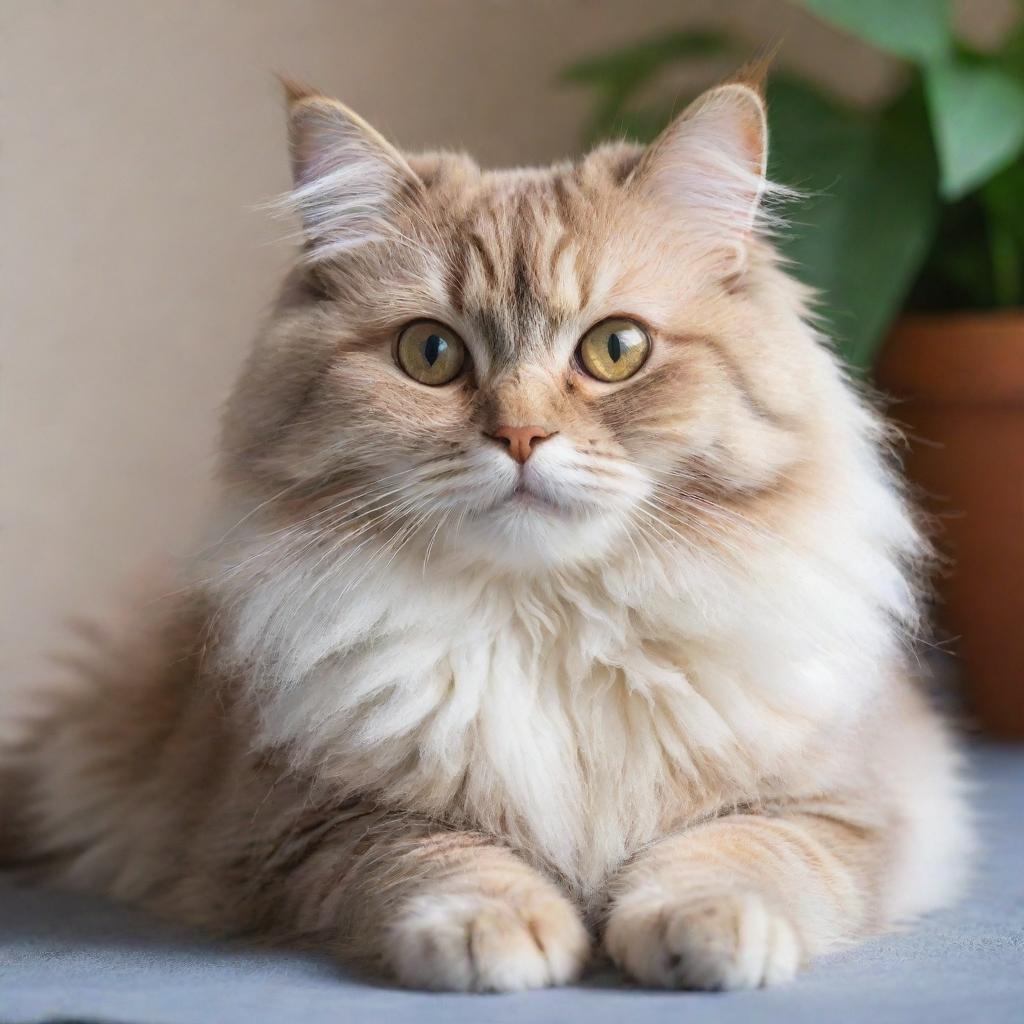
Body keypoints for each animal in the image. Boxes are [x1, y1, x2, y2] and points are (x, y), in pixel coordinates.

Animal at [4, 77, 970, 991]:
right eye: (430, 355)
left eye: (616, 349)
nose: (520, 436)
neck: (551, 623)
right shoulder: (311, 824)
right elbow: (443, 857)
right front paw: (493, 932)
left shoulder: (838, 806)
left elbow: (734, 853)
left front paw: (705, 930)